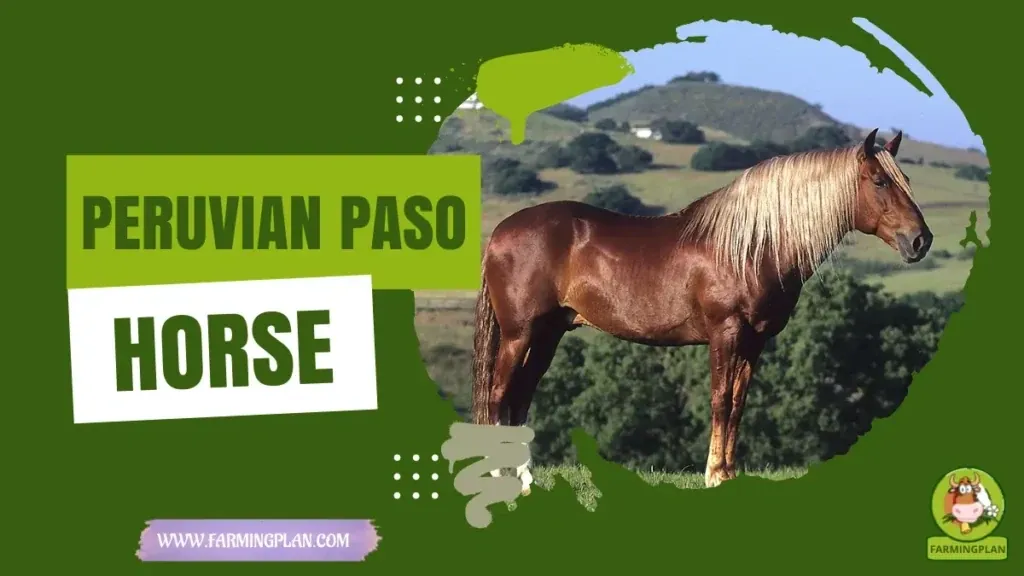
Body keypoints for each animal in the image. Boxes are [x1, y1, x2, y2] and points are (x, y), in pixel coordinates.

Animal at [471, 129, 931, 493]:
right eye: (879, 181)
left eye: (906, 179)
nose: (920, 241)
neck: (752, 245)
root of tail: (500, 232)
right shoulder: (725, 333)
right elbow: (720, 401)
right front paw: (713, 476)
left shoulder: (755, 341)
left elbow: (739, 403)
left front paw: (728, 473)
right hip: (519, 334)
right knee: (498, 395)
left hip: (548, 334)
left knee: (521, 398)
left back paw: (525, 480)